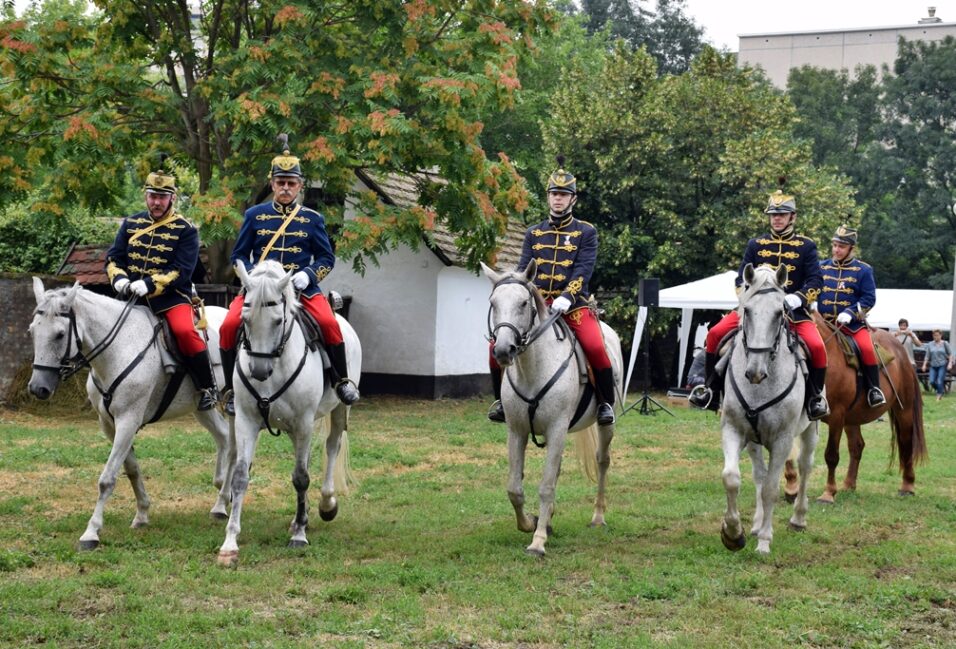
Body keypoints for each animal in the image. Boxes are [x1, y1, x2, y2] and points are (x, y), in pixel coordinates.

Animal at [27, 278, 233, 548]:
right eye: (32, 331)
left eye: (60, 334)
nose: (37, 388)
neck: (118, 349)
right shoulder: (110, 424)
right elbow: (132, 470)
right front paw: (142, 514)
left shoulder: (128, 420)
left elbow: (107, 479)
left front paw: (91, 532)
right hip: (202, 409)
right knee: (224, 438)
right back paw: (221, 500)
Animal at [218, 260, 362, 564]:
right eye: (245, 320)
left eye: (276, 320)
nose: (259, 372)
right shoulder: (246, 422)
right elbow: (240, 477)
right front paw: (230, 543)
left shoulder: (304, 422)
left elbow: (301, 477)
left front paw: (299, 536)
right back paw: (299, 518)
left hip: (338, 410)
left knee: (332, 447)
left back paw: (325, 505)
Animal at [482, 260, 624, 556]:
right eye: (493, 302)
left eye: (524, 303)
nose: (502, 350)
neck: (533, 368)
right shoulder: (517, 431)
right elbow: (514, 487)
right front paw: (532, 522)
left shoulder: (557, 428)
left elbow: (546, 486)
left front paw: (537, 542)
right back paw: (548, 521)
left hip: (606, 425)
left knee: (602, 461)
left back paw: (598, 516)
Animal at [720, 266, 816, 556]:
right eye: (748, 310)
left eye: (778, 312)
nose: (755, 371)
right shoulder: (733, 429)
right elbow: (732, 478)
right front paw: (733, 533)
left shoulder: (782, 440)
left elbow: (772, 488)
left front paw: (764, 540)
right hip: (754, 440)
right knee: (759, 476)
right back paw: (755, 523)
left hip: (812, 428)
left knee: (805, 465)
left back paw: (798, 518)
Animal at [784, 312, 928, 502]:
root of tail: (901, 350)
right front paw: (791, 489)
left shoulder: (836, 416)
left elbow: (831, 455)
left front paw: (828, 493)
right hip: (852, 417)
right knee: (857, 446)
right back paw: (848, 484)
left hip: (904, 410)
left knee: (906, 442)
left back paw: (908, 485)